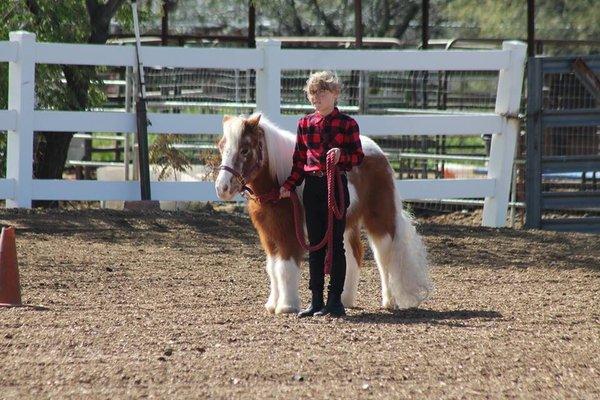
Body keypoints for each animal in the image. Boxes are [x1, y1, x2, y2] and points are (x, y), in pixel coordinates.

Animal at [213, 114, 428, 314]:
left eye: (245, 149)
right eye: (221, 147)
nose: (222, 188)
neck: (279, 186)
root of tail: (379, 154)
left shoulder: (288, 236)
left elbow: (284, 268)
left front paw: (286, 306)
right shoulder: (269, 235)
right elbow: (272, 269)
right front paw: (272, 304)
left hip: (380, 222)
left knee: (384, 259)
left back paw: (389, 301)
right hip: (344, 226)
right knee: (353, 257)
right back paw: (345, 300)